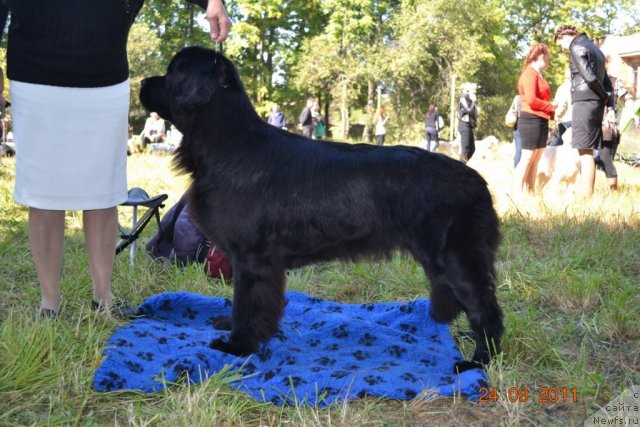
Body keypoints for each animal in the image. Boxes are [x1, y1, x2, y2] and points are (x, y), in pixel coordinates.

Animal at [141, 46, 504, 372]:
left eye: (174, 71)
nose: (143, 82)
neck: (229, 144)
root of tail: (476, 179)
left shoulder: (251, 256)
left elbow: (247, 301)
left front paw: (238, 346)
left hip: (454, 256)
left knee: (485, 308)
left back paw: (478, 362)